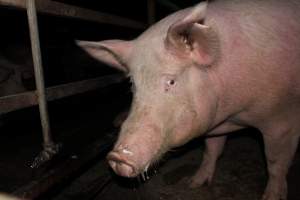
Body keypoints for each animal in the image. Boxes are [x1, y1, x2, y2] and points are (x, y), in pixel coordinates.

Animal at [78, 0, 300, 199]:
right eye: (133, 84)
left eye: (171, 81)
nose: (117, 157)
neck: (233, 116)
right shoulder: (215, 124)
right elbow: (212, 150)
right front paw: (194, 184)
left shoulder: (281, 119)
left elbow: (275, 163)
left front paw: (271, 197)